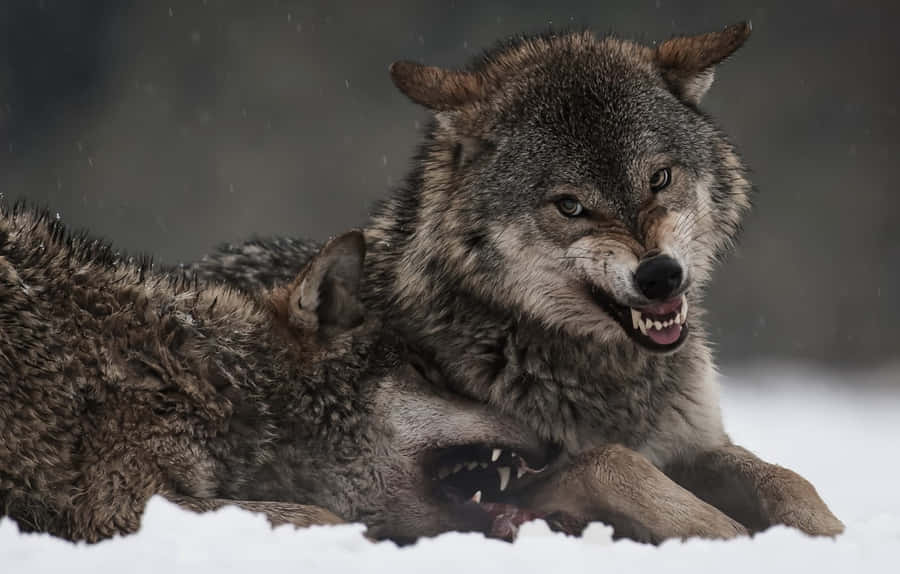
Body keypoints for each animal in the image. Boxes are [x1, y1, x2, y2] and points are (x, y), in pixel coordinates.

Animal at [196, 23, 844, 539]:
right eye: (570, 206)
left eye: (659, 178)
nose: (660, 275)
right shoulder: (503, 481)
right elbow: (614, 462)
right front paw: (729, 536)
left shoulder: (697, 444)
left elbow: (788, 480)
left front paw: (828, 536)